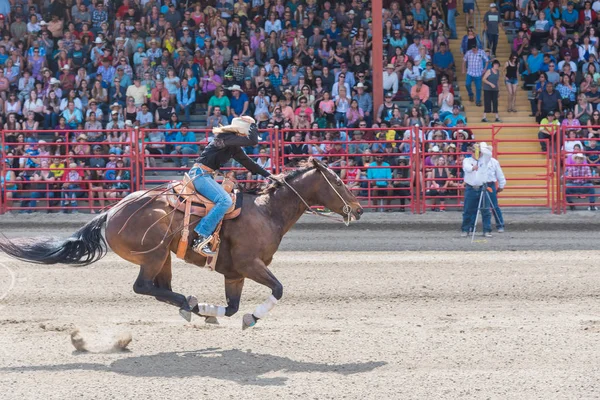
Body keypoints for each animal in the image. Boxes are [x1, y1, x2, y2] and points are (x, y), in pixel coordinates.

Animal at [0, 158, 364, 330]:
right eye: (337, 181)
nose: (358, 209)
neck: (266, 211)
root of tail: (111, 211)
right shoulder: (250, 265)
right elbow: (278, 289)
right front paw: (252, 317)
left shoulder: (234, 273)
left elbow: (232, 306)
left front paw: (215, 314)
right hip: (154, 254)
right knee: (144, 287)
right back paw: (189, 301)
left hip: (164, 258)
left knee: (159, 289)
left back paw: (191, 306)